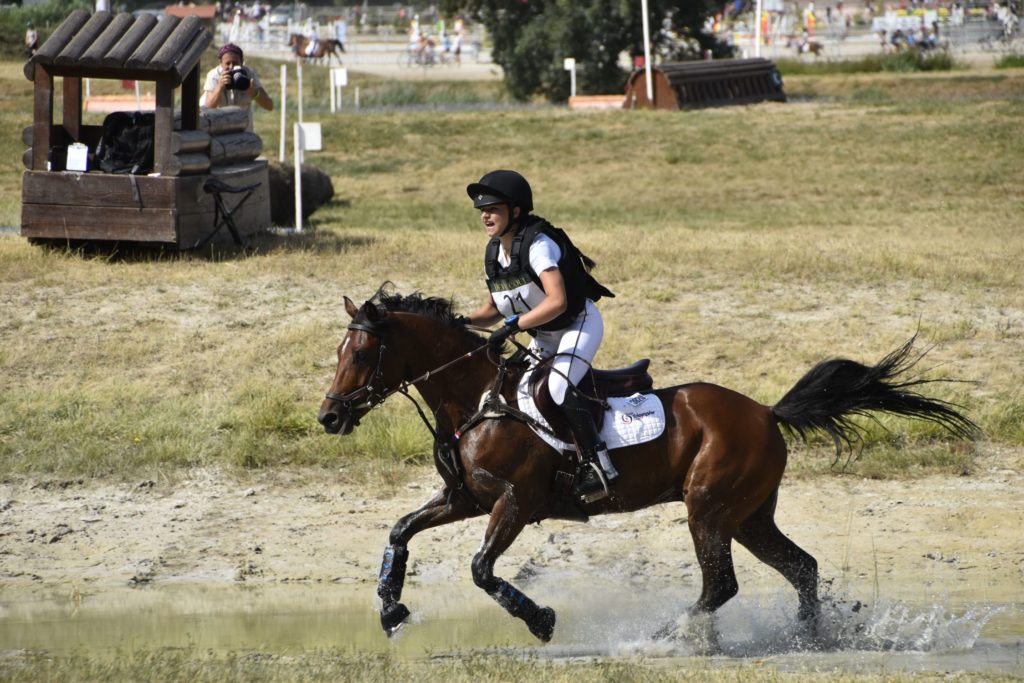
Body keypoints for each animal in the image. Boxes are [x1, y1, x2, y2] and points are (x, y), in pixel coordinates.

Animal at [317, 286, 974, 643]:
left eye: (364, 353)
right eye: (340, 351)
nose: (328, 416)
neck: (478, 398)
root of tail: (765, 411)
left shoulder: (514, 503)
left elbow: (481, 569)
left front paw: (541, 621)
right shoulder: (465, 500)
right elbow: (399, 531)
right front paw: (391, 608)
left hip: (709, 508)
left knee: (723, 583)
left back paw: (668, 636)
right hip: (748, 516)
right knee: (801, 568)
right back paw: (808, 640)